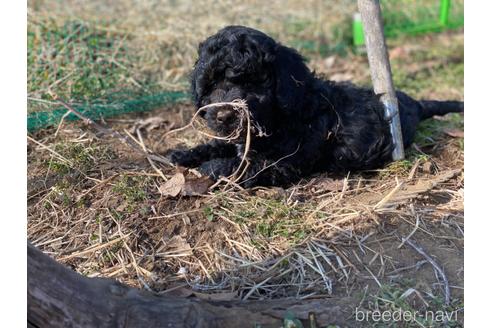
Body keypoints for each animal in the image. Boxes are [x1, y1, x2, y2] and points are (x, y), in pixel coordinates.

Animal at [167, 26, 464, 187]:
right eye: (212, 83)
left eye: (253, 83)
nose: (225, 115)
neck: (281, 115)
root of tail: (415, 104)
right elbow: (220, 144)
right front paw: (186, 153)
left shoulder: (284, 163)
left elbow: (245, 166)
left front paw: (213, 167)